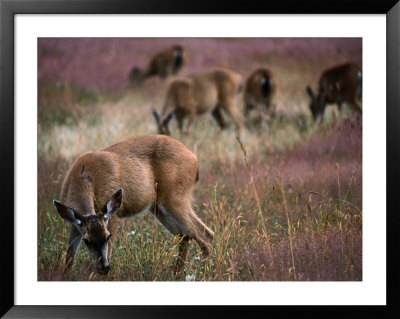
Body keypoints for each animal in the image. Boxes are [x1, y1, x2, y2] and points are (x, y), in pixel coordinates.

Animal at [54, 134, 216, 278]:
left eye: (107, 236)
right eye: (86, 240)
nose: (103, 268)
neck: (83, 177)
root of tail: (195, 160)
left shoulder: (113, 216)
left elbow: (109, 251)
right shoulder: (75, 225)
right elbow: (69, 257)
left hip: (175, 196)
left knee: (205, 234)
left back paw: (204, 274)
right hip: (158, 207)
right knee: (184, 236)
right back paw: (177, 275)